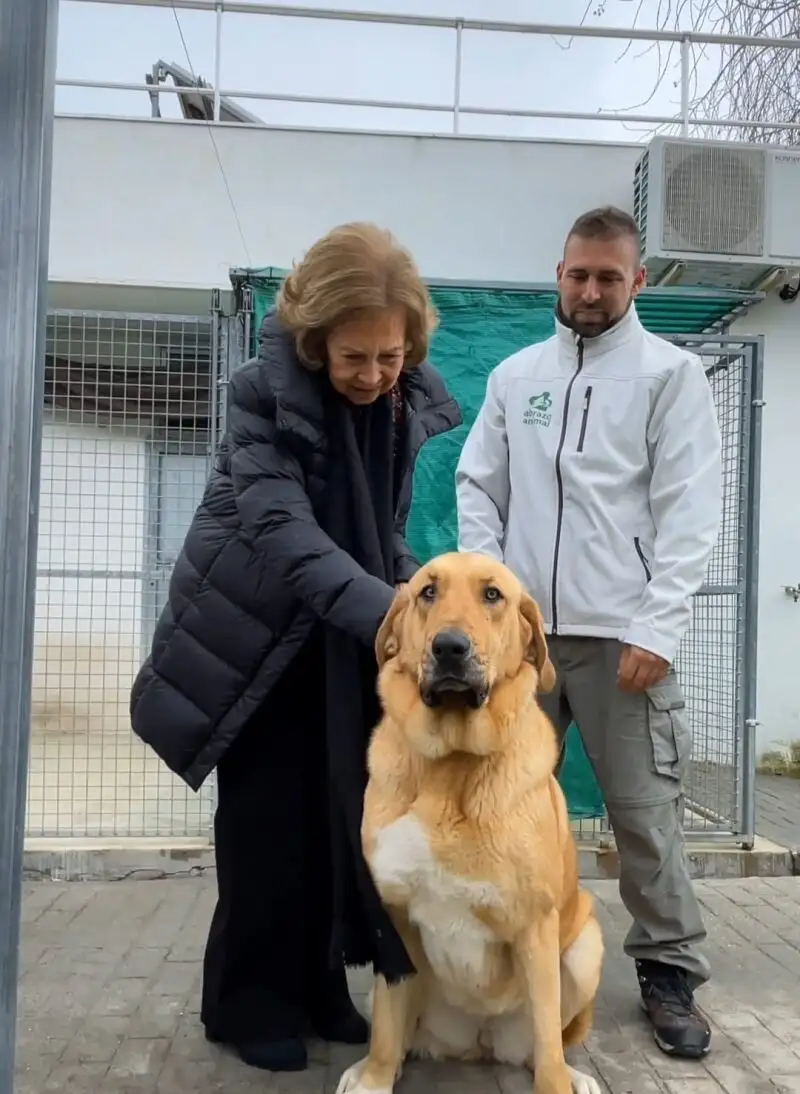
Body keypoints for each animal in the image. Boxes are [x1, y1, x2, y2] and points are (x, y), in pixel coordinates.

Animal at [337, 551, 608, 1094]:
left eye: (492, 595)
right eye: (427, 592)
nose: (449, 647)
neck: (452, 764)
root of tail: (478, 1041)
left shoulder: (535, 924)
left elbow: (548, 1041)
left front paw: (557, 1082)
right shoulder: (392, 921)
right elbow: (386, 1022)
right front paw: (376, 1075)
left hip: (585, 947)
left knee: (548, 1042)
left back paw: (573, 1075)